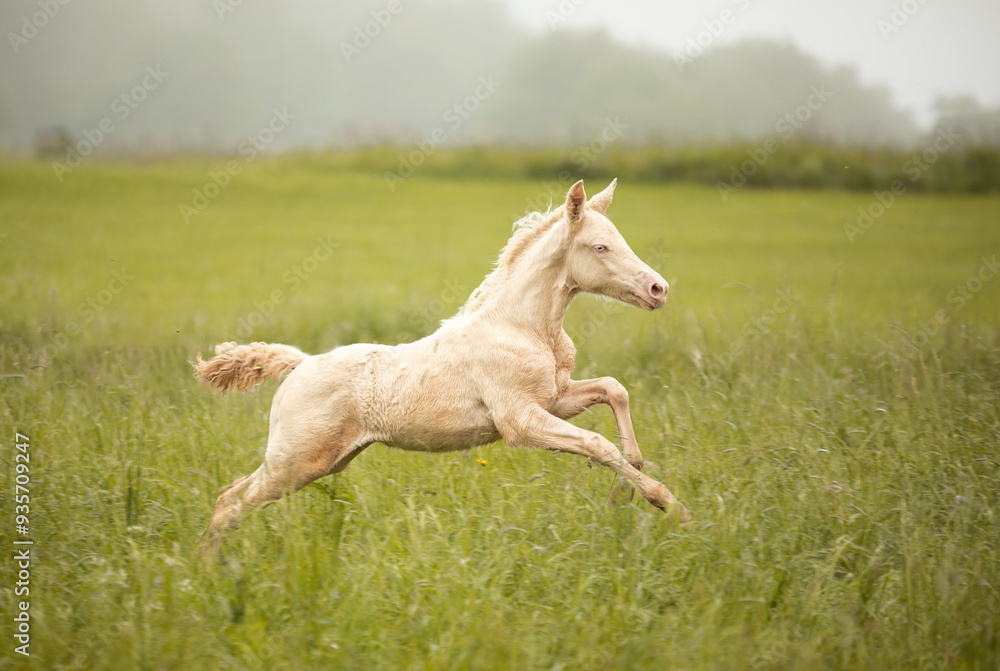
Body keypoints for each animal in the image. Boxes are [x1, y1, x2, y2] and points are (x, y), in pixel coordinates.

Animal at [195, 178, 690, 557]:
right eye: (600, 246)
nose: (659, 288)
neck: (523, 326)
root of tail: (301, 362)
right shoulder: (520, 421)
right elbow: (596, 443)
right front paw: (668, 504)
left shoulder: (555, 399)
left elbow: (614, 389)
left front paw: (627, 483)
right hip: (295, 461)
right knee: (229, 503)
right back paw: (208, 571)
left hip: (320, 463)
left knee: (232, 498)